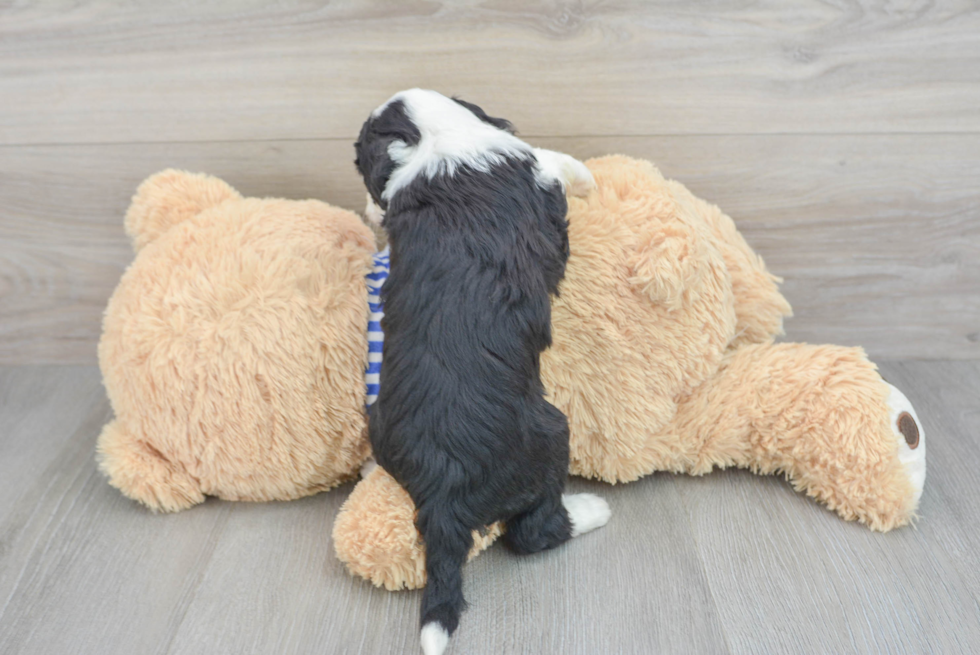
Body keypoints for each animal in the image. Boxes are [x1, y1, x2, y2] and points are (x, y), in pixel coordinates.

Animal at [352, 88, 612, 655]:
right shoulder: (539, 172)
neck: (434, 139)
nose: (368, 213)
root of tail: (442, 493)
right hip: (551, 437)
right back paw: (592, 511)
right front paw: (592, 179)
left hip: (381, 424)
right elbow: (564, 162)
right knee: (533, 532)